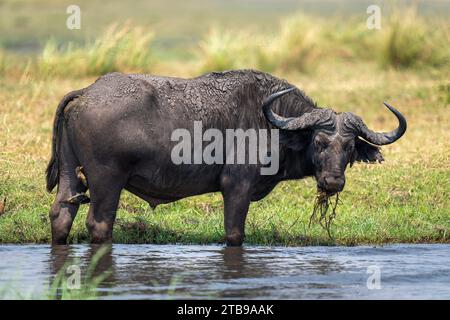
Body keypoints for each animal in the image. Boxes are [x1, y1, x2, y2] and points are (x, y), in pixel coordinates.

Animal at [46, 69, 408, 245]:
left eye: (349, 147)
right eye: (319, 142)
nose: (332, 182)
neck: (272, 124)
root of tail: (88, 92)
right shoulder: (237, 186)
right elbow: (234, 233)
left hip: (71, 176)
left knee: (60, 215)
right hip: (107, 181)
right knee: (99, 224)